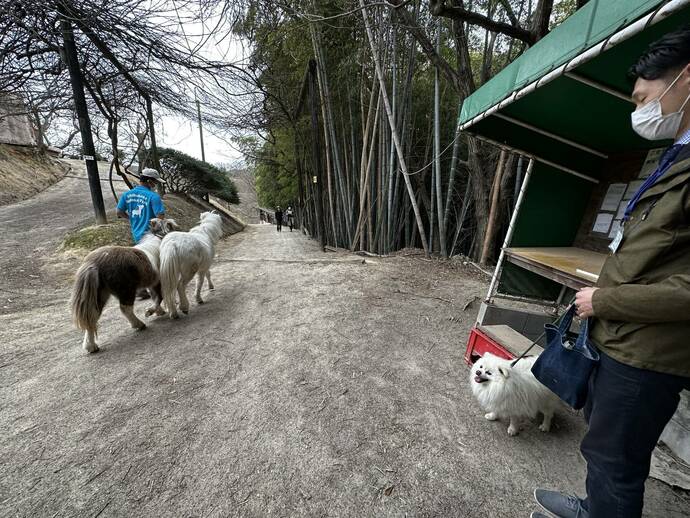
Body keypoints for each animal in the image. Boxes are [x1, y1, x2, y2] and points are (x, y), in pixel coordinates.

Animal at [69, 217, 177, 356]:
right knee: (125, 308)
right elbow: (159, 297)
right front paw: (150, 311)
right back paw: (139, 324)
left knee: (92, 316)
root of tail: (94, 263)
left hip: (100, 294)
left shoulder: (151, 283)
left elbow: (155, 297)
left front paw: (158, 311)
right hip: (126, 290)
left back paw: (91, 346)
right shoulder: (158, 282)